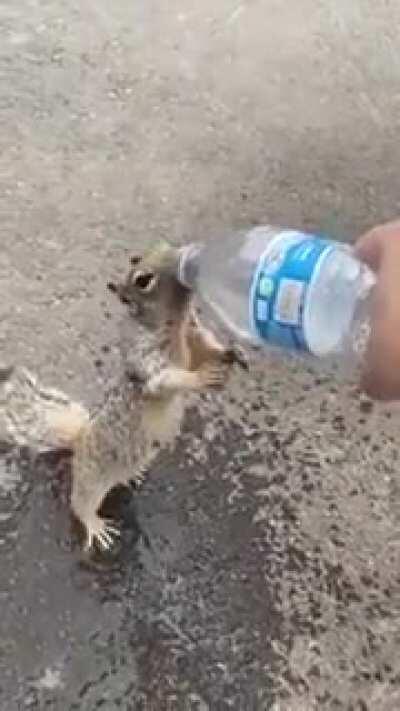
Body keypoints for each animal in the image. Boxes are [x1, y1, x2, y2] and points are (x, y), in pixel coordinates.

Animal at [0, 242, 244, 552]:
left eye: (164, 246)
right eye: (143, 280)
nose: (184, 258)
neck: (175, 324)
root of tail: (79, 442)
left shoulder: (193, 335)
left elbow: (205, 348)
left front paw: (231, 353)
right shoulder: (145, 358)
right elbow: (164, 379)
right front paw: (199, 378)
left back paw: (133, 475)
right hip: (92, 479)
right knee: (79, 503)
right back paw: (94, 524)